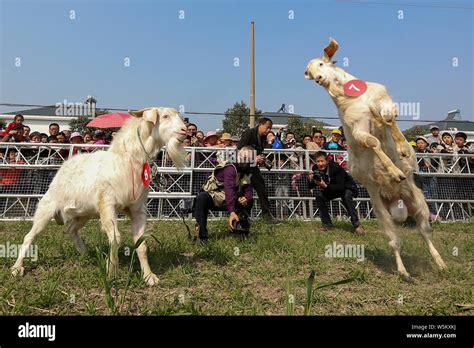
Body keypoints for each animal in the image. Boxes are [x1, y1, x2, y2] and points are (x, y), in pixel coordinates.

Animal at [12, 106, 186, 286]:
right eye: (165, 116)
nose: (184, 131)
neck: (127, 159)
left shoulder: (137, 209)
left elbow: (141, 244)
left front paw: (149, 276)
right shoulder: (107, 204)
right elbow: (115, 238)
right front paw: (111, 273)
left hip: (83, 214)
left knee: (71, 229)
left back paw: (85, 253)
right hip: (46, 209)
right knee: (29, 236)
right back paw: (17, 268)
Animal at [306, 38, 446, 282]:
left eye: (322, 64)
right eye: (312, 73)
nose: (319, 78)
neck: (354, 97)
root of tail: (398, 200)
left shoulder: (383, 101)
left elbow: (389, 118)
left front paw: (403, 149)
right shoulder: (358, 129)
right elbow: (373, 143)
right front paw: (394, 172)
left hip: (419, 203)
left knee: (425, 233)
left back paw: (440, 262)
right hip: (382, 212)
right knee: (394, 242)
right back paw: (404, 272)